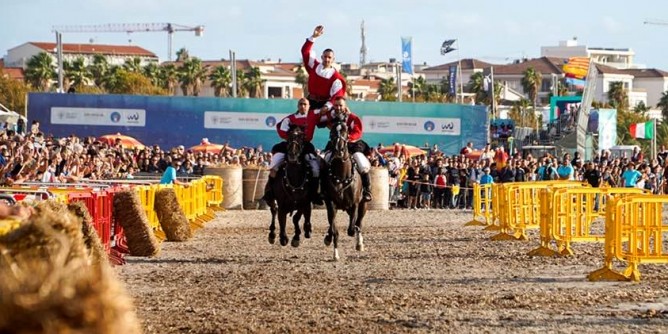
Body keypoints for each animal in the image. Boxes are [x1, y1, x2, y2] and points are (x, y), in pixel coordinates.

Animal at [322, 118, 368, 260]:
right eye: (331, 131)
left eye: (345, 131)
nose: (339, 149)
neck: (342, 175)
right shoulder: (331, 204)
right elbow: (334, 229)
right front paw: (335, 253)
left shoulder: (354, 204)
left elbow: (352, 229)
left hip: (363, 205)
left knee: (359, 222)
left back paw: (360, 243)